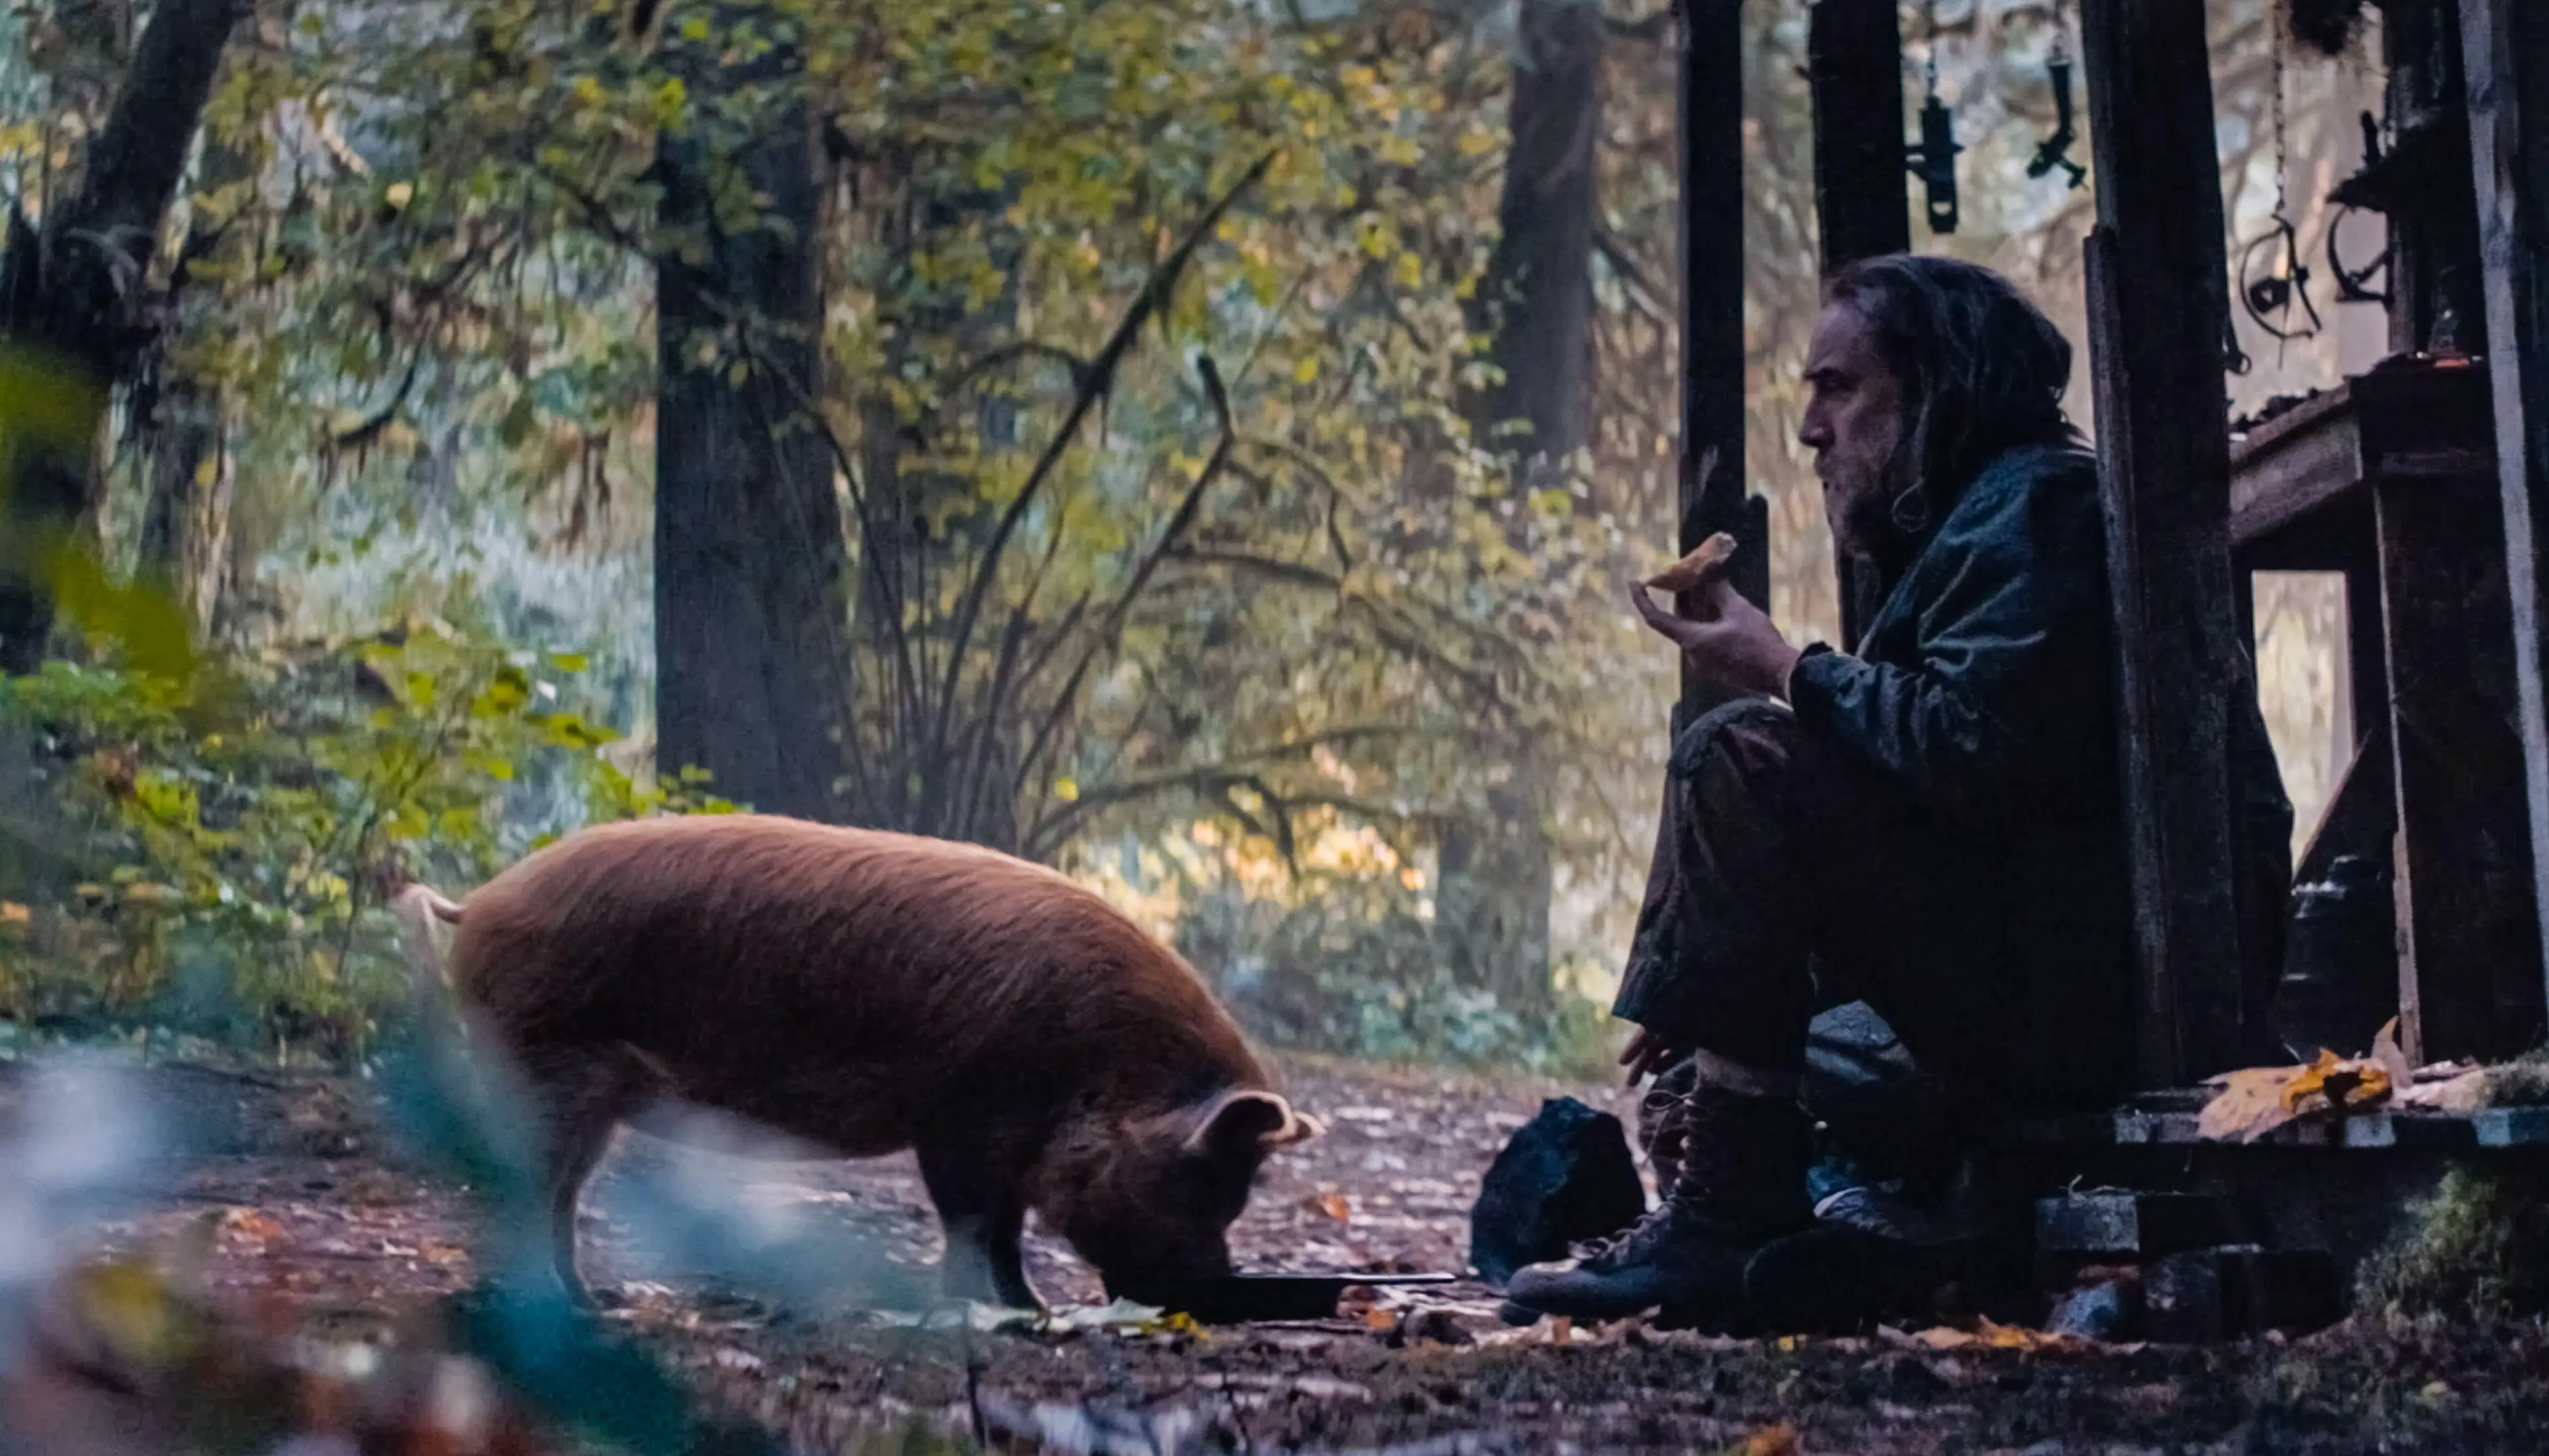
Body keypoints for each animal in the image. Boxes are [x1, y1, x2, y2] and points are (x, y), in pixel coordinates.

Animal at [394, 813, 1320, 1310]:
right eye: (1198, 1184)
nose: (1218, 1286)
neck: (1095, 1060)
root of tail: (480, 902)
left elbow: (1004, 1228)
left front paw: (1031, 1310)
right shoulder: (961, 1115)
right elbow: (972, 1221)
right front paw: (995, 1311)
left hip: (589, 1097)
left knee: (561, 1192)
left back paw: (594, 1302)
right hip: (539, 1062)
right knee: (526, 1185)